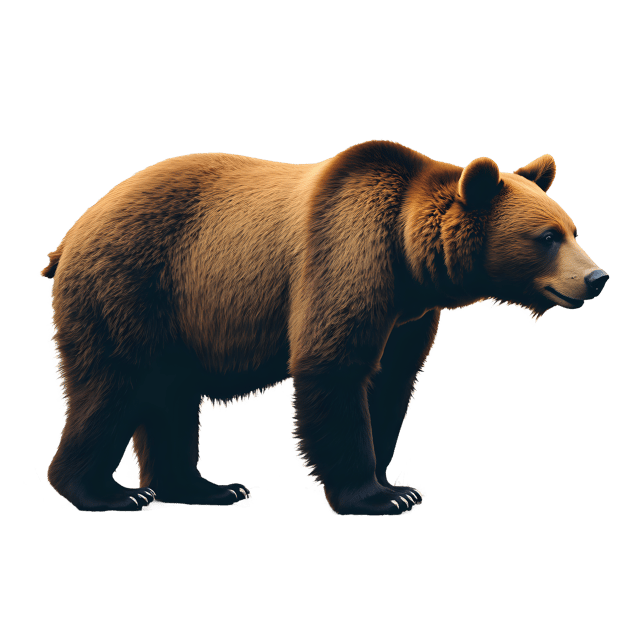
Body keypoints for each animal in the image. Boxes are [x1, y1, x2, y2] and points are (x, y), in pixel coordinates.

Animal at [40, 140, 609, 515]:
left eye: (572, 230)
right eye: (546, 237)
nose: (596, 278)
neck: (409, 261)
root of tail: (72, 232)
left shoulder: (408, 315)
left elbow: (391, 383)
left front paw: (393, 480)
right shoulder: (346, 253)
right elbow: (335, 367)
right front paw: (381, 495)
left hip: (173, 315)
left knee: (169, 397)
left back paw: (206, 488)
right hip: (131, 283)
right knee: (114, 385)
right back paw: (109, 492)